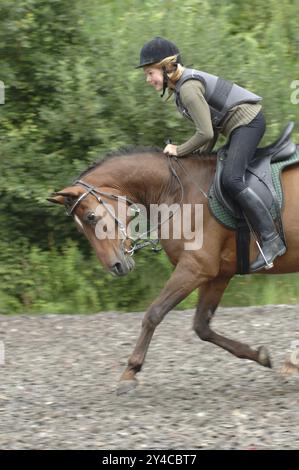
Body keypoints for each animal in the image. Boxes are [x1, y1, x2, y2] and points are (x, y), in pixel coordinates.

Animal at [48, 147, 299, 392]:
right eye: (81, 228)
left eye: (91, 217)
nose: (116, 267)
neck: (176, 191)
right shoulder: (217, 274)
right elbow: (202, 326)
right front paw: (260, 355)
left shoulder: (195, 268)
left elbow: (154, 314)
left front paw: (130, 372)